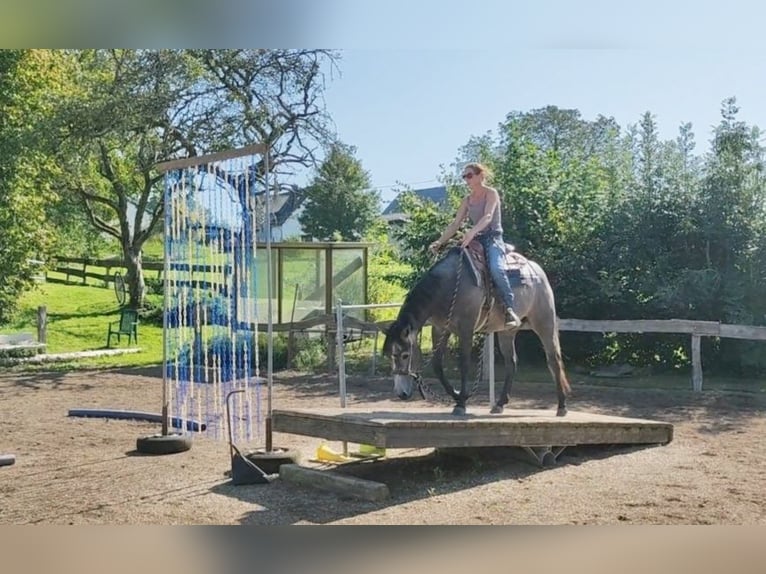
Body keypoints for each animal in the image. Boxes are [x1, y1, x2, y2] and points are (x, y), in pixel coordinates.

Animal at [382, 244, 568, 418]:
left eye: (405, 355)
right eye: (389, 355)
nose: (401, 394)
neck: (447, 286)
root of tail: (536, 269)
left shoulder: (466, 328)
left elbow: (463, 364)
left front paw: (461, 404)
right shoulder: (440, 329)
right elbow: (437, 365)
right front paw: (457, 395)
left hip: (544, 322)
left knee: (554, 360)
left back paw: (562, 407)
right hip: (506, 331)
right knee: (511, 363)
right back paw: (499, 404)